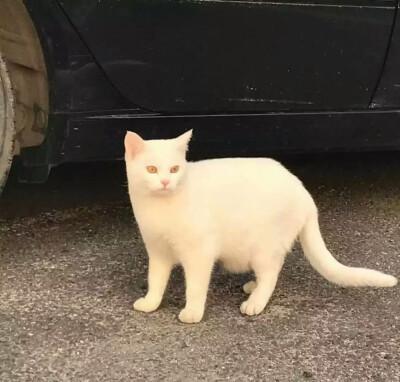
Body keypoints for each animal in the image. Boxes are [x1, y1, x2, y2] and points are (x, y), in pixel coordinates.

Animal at [124, 130, 396, 324]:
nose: (165, 181)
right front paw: (151, 303)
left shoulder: (199, 253)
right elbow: (156, 280)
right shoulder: (157, 252)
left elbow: (196, 286)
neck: (161, 208)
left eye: (174, 169)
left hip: (263, 248)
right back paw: (253, 287)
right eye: (151, 169)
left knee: (271, 274)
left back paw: (255, 301)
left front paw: (192, 312)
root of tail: (302, 190)